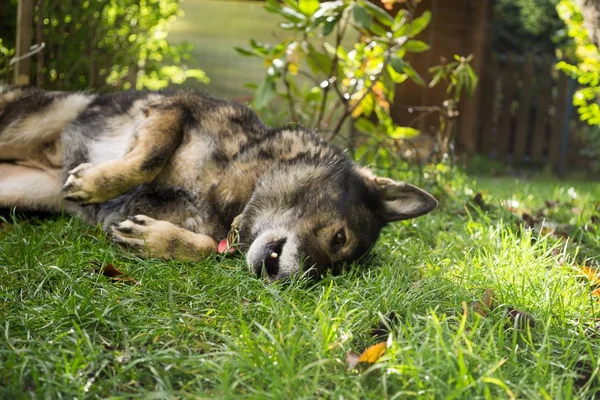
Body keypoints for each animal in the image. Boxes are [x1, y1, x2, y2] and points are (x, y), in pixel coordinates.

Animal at [0, 85, 434, 280]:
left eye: (329, 274)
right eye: (339, 239)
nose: (290, 281)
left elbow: (210, 248)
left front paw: (158, 240)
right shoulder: (173, 109)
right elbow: (147, 160)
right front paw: (94, 183)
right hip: (34, 116)